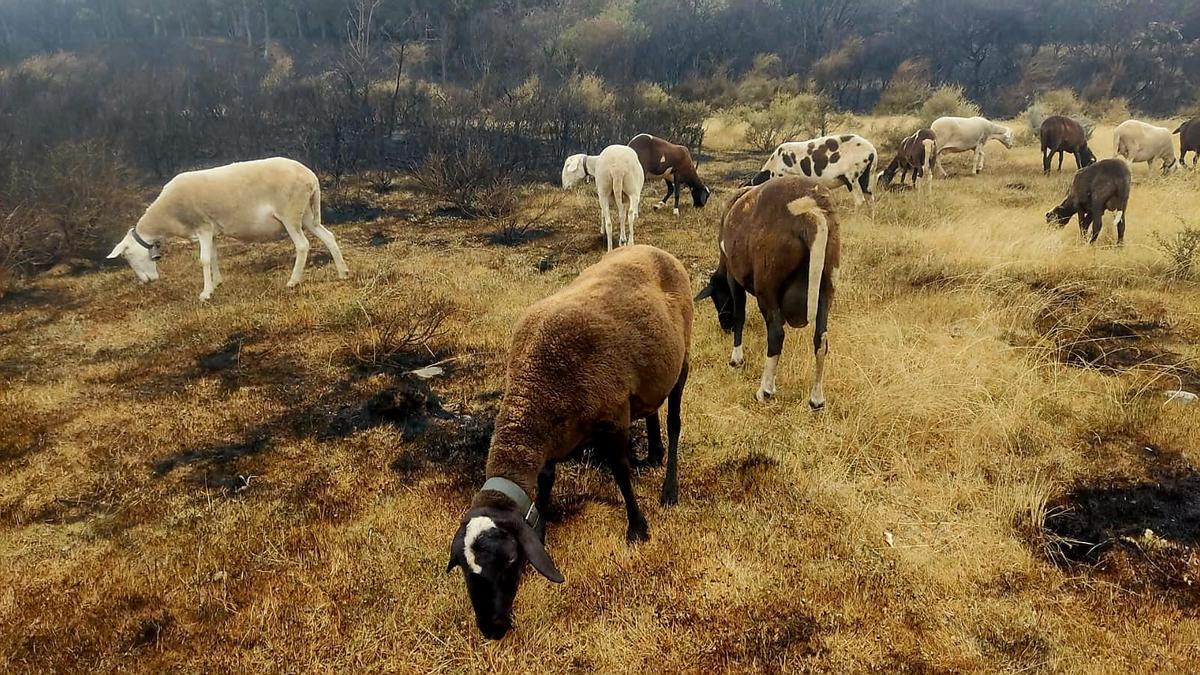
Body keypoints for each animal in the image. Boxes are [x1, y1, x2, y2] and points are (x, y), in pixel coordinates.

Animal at [105, 157, 350, 299]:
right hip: (307, 213)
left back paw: (293, 281)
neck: (168, 215)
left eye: (128, 257)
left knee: (302, 245)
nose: (148, 282)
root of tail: (311, 176)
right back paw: (343, 272)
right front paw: (217, 283)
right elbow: (213, 256)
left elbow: (203, 259)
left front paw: (206, 293)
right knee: (328, 236)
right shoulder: (212, 231)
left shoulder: (203, 226)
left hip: (290, 213)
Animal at [448, 243, 696, 638]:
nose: (492, 629)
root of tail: (654, 248)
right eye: (462, 565)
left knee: (674, 422)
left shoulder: (613, 418)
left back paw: (669, 487)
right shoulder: (550, 443)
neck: (536, 386)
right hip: (653, 370)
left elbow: (620, 472)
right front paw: (543, 530)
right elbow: (546, 483)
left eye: (510, 560)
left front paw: (637, 528)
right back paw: (654, 454)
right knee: (652, 408)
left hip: (683, 356)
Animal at [700, 172, 840, 403]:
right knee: (821, 339)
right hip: (826, 285)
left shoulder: (733, 277)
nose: (725, 326)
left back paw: (765, 390)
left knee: (776, 334)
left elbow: (740, 315)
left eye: (717, 299)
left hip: (767, 287)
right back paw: (816, 399)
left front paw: (736, 358)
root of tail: (810, 213)